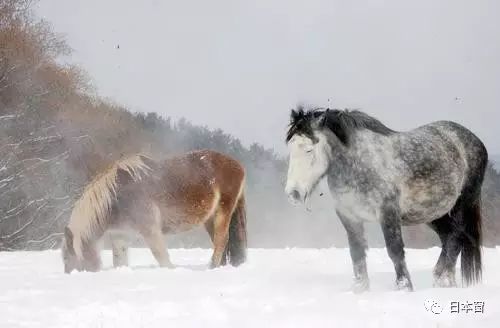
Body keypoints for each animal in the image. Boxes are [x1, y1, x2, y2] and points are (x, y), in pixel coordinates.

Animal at [62, 150, 248, 272]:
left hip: (223, 210)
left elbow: (161, 256)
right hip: (210, 217)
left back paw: (212, 267)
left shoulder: (150, 230)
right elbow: (120, 261)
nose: (70, 273)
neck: (118, 196)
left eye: (67, 257)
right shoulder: (120, 235)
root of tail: (237, 165)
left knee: (221, 240)